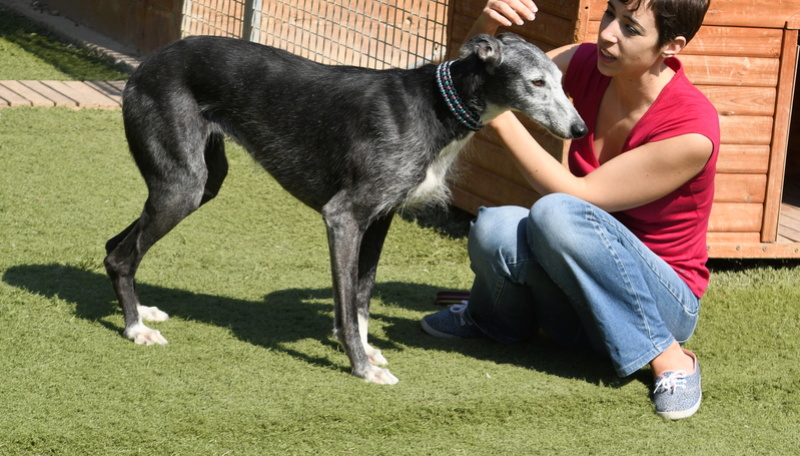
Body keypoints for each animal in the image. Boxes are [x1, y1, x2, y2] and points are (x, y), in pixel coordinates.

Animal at [103, 32, 584, 384]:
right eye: (536, 82)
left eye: (563, 82)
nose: (579, 129)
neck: (435, 103)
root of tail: (148, 62)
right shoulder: (344, 217)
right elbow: (347, 299)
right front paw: (361, 366)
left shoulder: (380, 219)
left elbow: (363, 295)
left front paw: (366, 350)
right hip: (182, 186)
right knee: (122, 255)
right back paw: (135, 328)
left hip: (201, 183)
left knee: (114, 247)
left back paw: (141, 310)